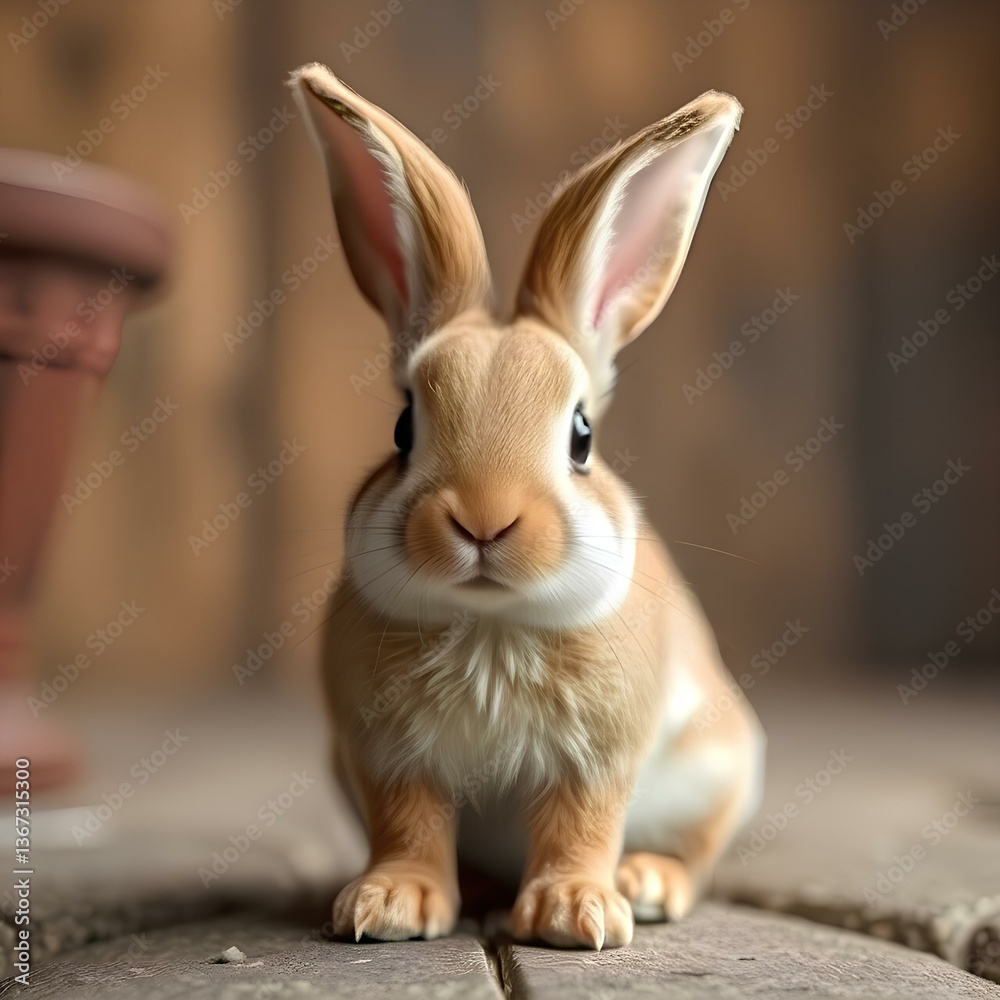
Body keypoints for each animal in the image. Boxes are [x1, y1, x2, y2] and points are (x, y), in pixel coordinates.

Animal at [289, 62, 765, 951]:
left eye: (581, 436)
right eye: (403, 428)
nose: (484, 520)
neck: (490, 623)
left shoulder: (599, 758)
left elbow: (581, 824)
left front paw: (577, 915)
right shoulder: (386, 757)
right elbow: (409, 825)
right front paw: (388, 905)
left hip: (719, 768)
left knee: (696, 854)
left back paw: (647, 883)